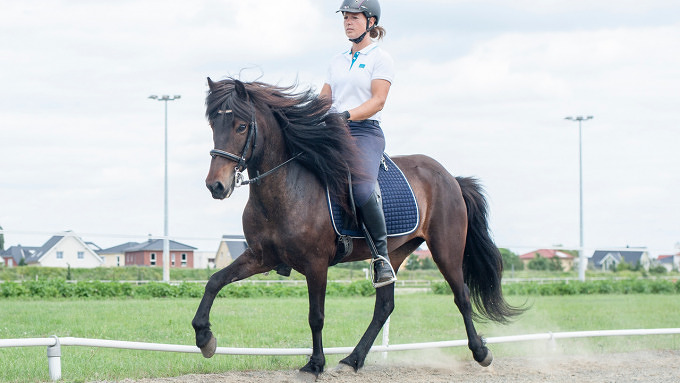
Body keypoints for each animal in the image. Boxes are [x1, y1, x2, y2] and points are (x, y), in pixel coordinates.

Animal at [193, 77, 524, 378]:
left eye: (241, 127)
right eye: (213, 125)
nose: (215, 186)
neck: (287, 188)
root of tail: (451, 178)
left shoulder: (316, 263)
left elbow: (316, 315)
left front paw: (315, 364)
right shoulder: (262, 257)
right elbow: (215, 281)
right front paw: (204, 337)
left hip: (446, 249)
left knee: (461, 295)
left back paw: (481, 352)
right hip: (394, 253)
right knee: (385, 306)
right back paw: (353, 359)